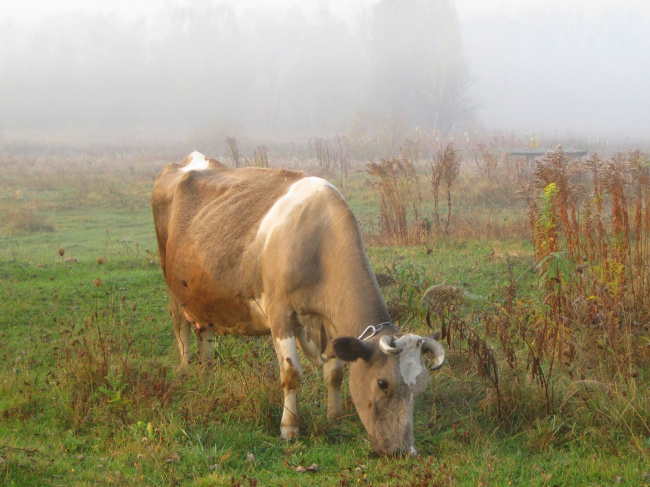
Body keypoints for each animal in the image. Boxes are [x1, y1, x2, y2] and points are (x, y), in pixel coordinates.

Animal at [151, 152, 446, 458]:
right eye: (382, 383)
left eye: (421, 388)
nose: (405, 451)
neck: (318, 241)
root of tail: (190, 159)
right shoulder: (281, 314)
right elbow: (291, 374)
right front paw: (289, 428)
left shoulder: (331, 322)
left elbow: (335, 374)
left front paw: (335, 417)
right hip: (171, 281)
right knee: (180, 325)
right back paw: (186, 368)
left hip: (201, 292)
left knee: (204, 330)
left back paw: (207, 370)